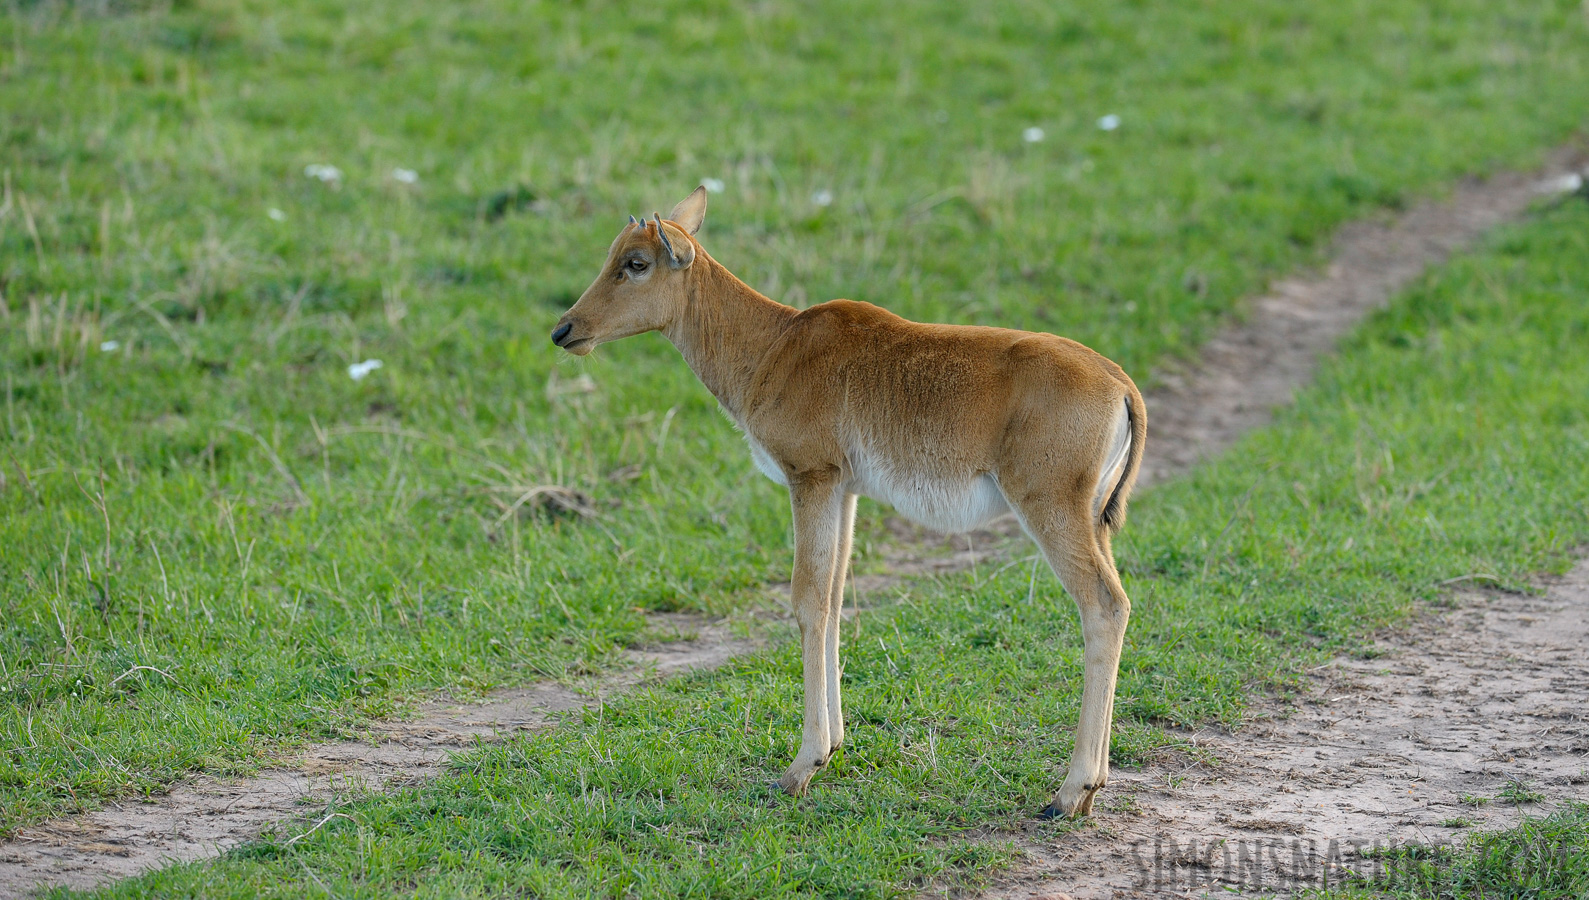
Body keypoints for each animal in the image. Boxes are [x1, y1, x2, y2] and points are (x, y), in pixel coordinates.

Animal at [549, 185, 1144, 820]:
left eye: (636, 263)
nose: (565, 330)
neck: (777, 341)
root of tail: (1118, 383)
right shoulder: (844, 491)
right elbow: (833, 600)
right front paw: (832, 747)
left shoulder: (811, 479)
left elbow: (807, 600)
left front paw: (800, 768)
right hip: (1091, 522)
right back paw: (1093, 787)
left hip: (1051, 511)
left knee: (1105, 606)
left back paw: (1069, 791)